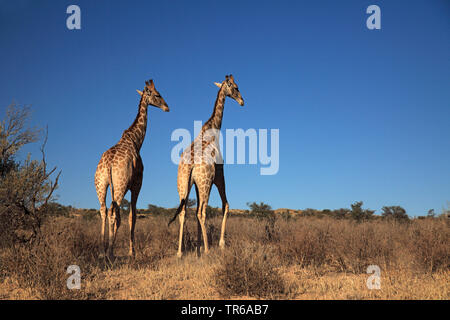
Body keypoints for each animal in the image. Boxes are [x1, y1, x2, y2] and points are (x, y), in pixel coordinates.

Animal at [94, 78, 170, 260]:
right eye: (158, 94)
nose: (167, 107)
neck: (136, 140)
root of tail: (108, 164)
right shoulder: (137, 184)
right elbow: (132, 216)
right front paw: (132, 251)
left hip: (101, 184)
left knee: (103, 210)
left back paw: (101, 251)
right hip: (120, 186)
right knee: (113, 213)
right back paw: (110, 251)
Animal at [169, 74, 244, 258]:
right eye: (236, 87)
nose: (242, 101)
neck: (213, 128)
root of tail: (189, 164)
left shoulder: (196, 184)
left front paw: (197, 248)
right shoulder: (219, 175)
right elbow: (226, 205)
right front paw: (219, 244)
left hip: (183, 184)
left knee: (184, 212)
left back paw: (180, 253)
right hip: (206, 183)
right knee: (201, 212)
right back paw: (209, 250)